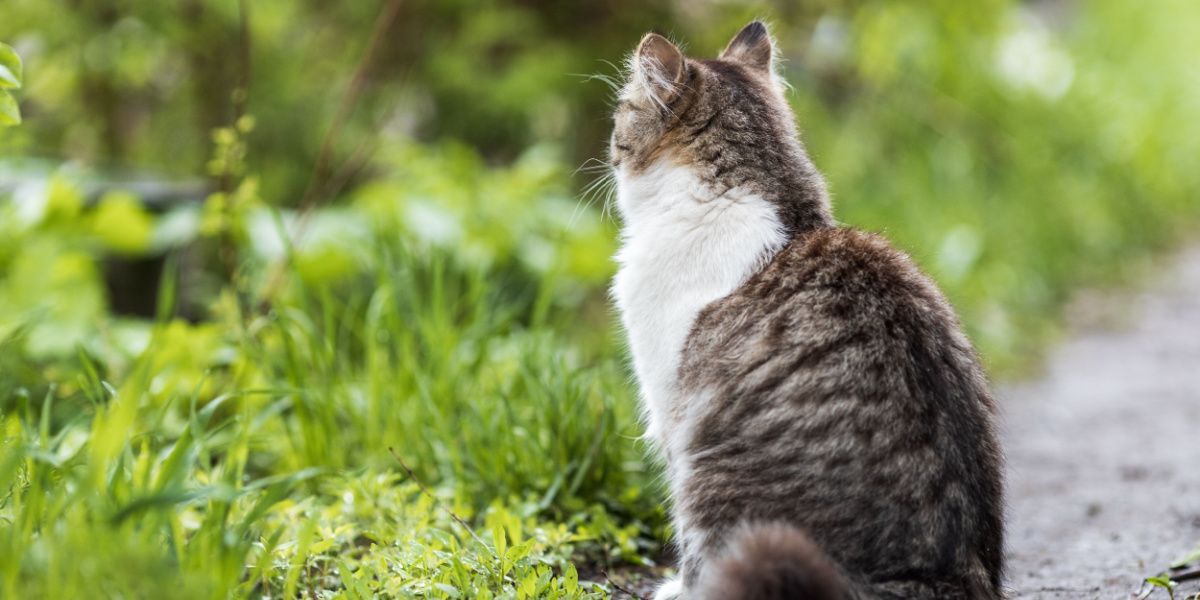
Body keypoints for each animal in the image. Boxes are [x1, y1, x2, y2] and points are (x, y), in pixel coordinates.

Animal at [609, 21, 1003, 597]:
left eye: (619, 114)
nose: (608, 152)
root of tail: (942, 576)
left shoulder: (673, 415)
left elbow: (686, 548)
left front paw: (677, 588)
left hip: (711, 477)